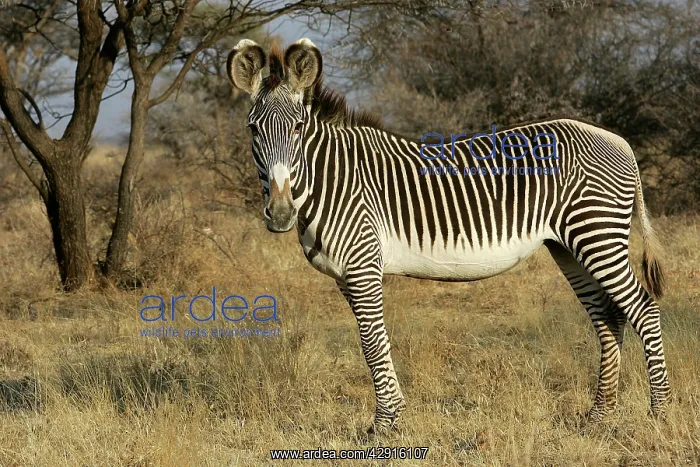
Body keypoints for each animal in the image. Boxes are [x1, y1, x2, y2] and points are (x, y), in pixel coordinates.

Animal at [227, 38, 671, 432]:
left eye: (298, 128)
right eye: (252, 130)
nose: (280, 214)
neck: (330, 180)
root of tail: (618, 141)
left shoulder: (363, 265)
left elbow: (372, 342)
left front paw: (385, 423)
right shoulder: (344, 276)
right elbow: (371, 342)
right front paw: (390, 417)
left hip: (597, 233)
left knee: (644, 310)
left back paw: (659, 413)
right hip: (570, 245)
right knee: (609, 318)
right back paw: (599, 416)